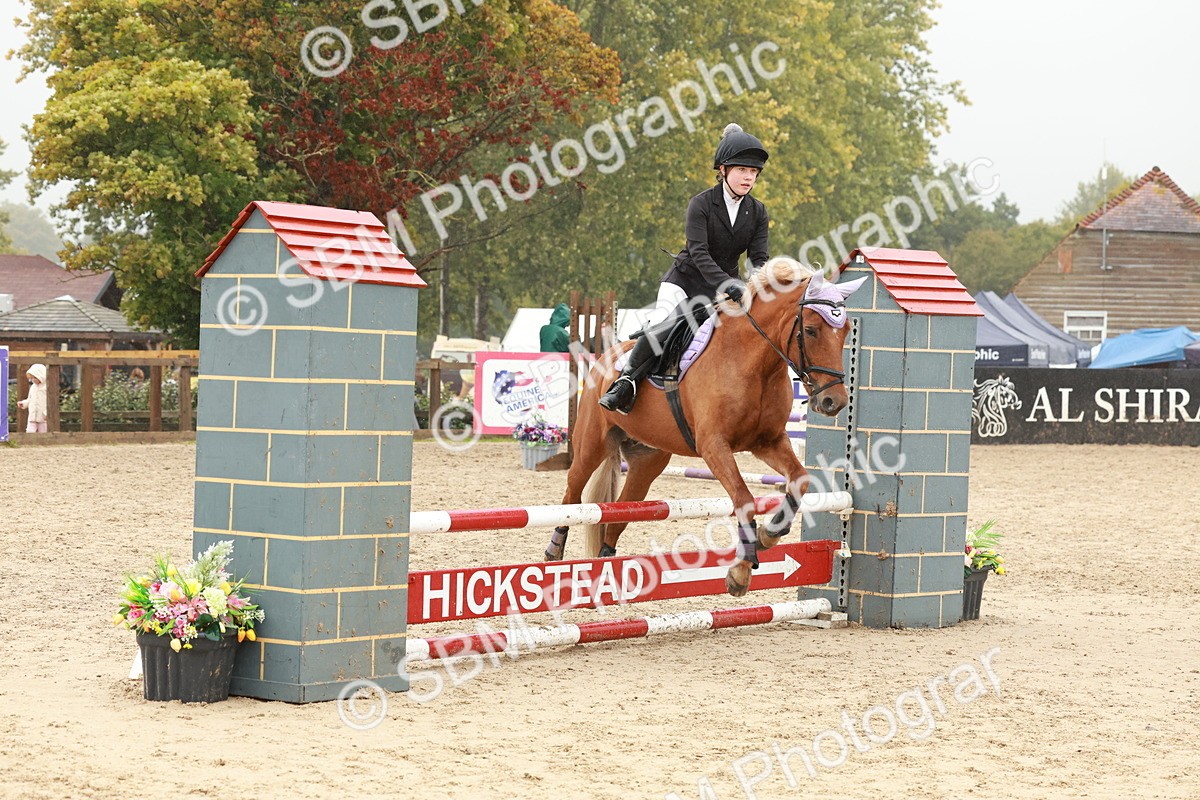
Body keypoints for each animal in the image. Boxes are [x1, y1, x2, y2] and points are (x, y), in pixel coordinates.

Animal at [543, 257, 867, 596]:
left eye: (846, 331)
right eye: (811, 330)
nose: (833, 402)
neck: (754, 363)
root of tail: (609, 354)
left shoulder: (768, 442)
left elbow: (799, 480)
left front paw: (768, 536)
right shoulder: (713, 446)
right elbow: (744, 498)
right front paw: (740, 572)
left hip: (647, 462)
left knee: (617, 517)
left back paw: (608, 573)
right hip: (592, 444)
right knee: (572, 496)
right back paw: (554, 550)